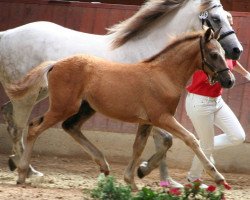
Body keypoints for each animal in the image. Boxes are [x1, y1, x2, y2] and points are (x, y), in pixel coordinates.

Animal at [7, 28, 234, 189]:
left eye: (224, 53)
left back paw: (103, 165)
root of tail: (55, 64)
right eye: (214, 54)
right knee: (35, 128)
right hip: (64, 107)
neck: (164, 76)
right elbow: (191, 139)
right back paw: (22, 173)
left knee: (67, 127)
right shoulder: (162, 117)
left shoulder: (146, 121)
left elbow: (139, 147)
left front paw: (133, 179)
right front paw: (219, 177)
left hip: (84, 108)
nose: (229, 80)